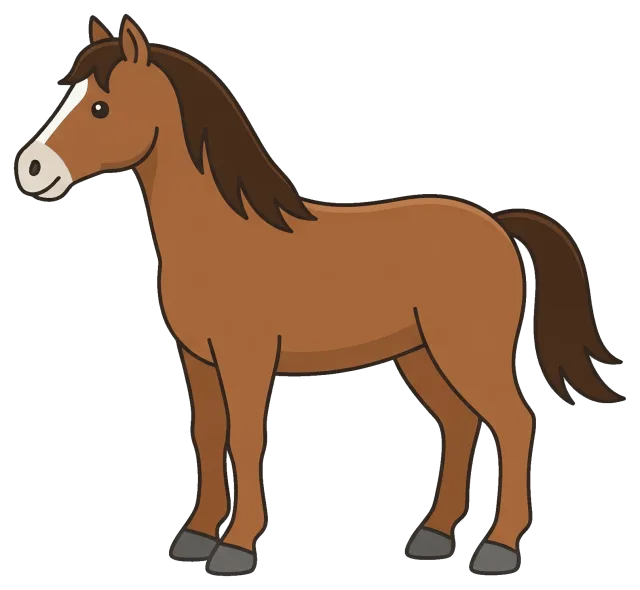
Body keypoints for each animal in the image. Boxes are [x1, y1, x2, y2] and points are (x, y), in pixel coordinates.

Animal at [14, 16, 624, 576]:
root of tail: (497, 224)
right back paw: (431, 536)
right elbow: (208, 437)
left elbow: (243, 440)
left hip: (467, 354)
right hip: (422, 356)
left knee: (514, 424)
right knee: (459, 425)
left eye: (100, 107)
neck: (222, 234)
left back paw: (497, 548)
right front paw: (195, 537)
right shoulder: (199, 360)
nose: (31, 169)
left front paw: (236, 547)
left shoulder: (246, 360)